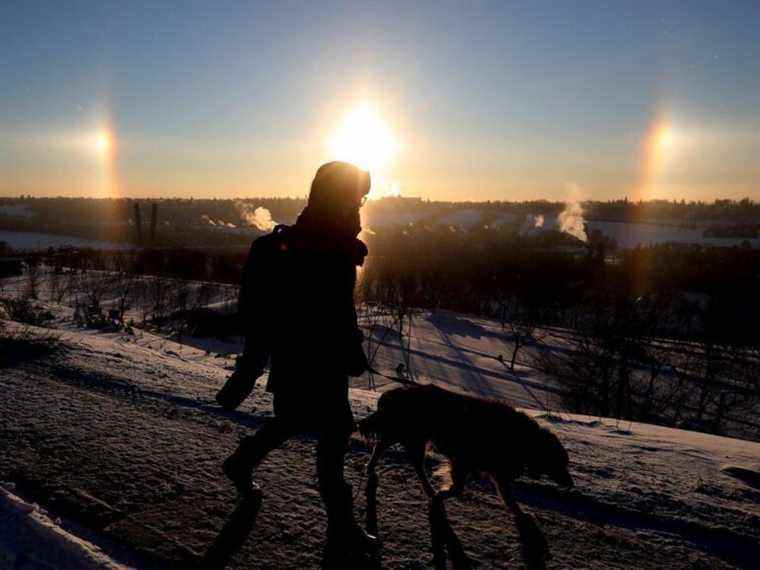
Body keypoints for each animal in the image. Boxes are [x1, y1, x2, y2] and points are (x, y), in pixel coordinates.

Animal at [360, 382, 572, 568]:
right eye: (562, 463)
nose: (571, 484)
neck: (525, 440)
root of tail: (395, 392)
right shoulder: (462, 461)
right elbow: (459, 488)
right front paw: (442, 495)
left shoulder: (496, 472)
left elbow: (509, 498)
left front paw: (521, 514)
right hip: (405, 433)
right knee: (389, 451)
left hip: (412, 437)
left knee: (398, 455)